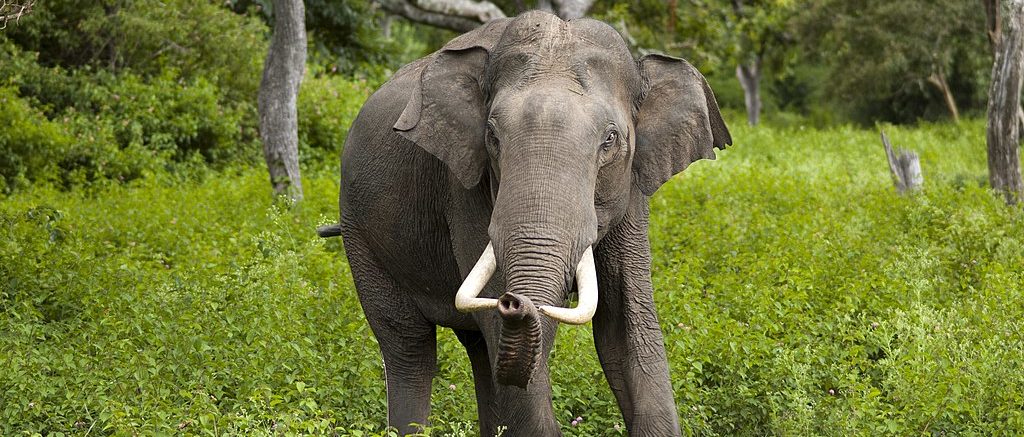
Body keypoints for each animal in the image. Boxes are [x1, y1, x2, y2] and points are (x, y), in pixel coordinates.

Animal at [318, 10, 731, 437]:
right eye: (492, 136)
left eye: (610, 140)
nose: (514, 301)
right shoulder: (465, 187)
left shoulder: (633, 189)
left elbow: (626, 326)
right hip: (360, 234)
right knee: (409, 346)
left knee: (478, 349)